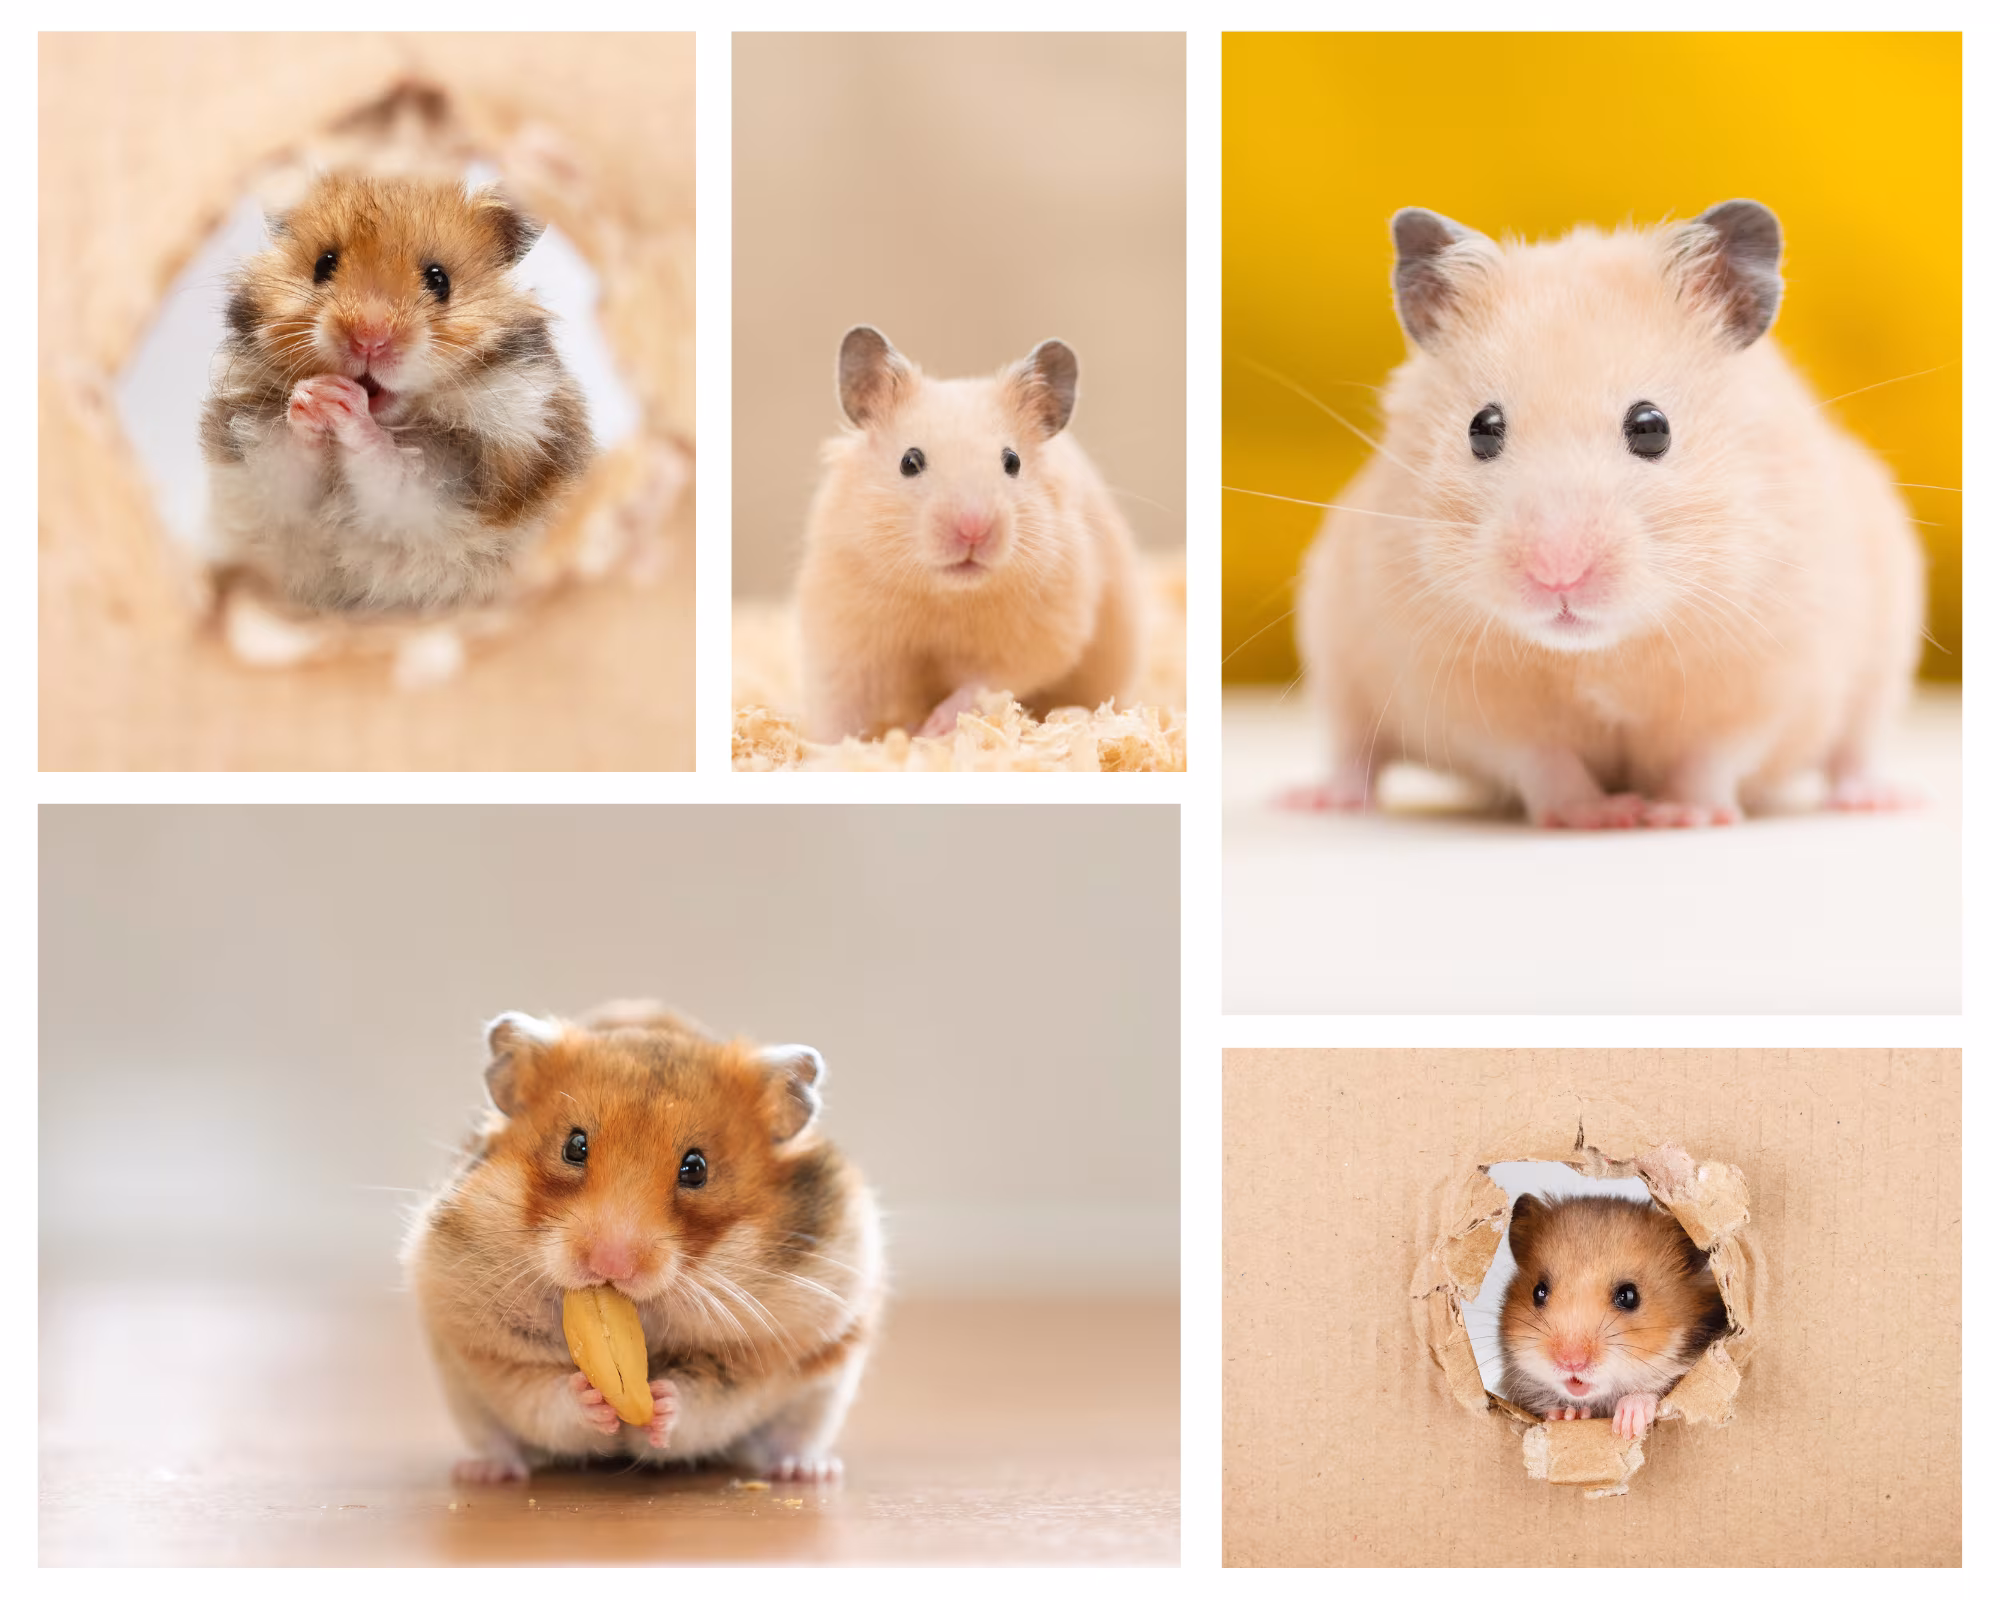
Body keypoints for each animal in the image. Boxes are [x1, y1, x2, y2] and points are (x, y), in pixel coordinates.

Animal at [201, 172, 592, 613]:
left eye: (439, 280)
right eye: (324, 264)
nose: (368, 339)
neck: (393, 416)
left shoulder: (463, 478)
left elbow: (392, 470)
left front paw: (343, 403)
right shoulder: (260, 463)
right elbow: (289, 461)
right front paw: (312, 396)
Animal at [405, 1003, 884, 1485]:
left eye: (696, 1168)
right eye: (574, 1146)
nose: (610, 1265)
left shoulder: (761, 1354)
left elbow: (706, 1399)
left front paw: (660, 1402)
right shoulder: (487, 1347)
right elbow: (543, 1394)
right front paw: (591, 1397)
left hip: (823, 1391)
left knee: (792, 1438)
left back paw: (808, 1471)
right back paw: (484, 1473)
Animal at [796, 326, 1146, 742]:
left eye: (1012, 461)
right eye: (909, 462)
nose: (973, 529)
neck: (947, 597)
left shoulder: (1040, 635)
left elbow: (982, 686)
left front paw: (931, 730)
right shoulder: (843, 632)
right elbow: (842, 706)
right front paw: (834, 747)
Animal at [1294, 200, 1924, 826]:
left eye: (1651, 427)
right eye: (1481, 428)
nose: (1558, 576)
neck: (1603, 652)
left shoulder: (1772, 674)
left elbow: (1710, 757)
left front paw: (1682, 816)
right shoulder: (1460, 694)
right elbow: (1542, 760)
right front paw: (1601, 816)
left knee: (1854, 749)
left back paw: (1876, 799)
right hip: (1335, 654)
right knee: (1355, 747)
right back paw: (1321, 799)